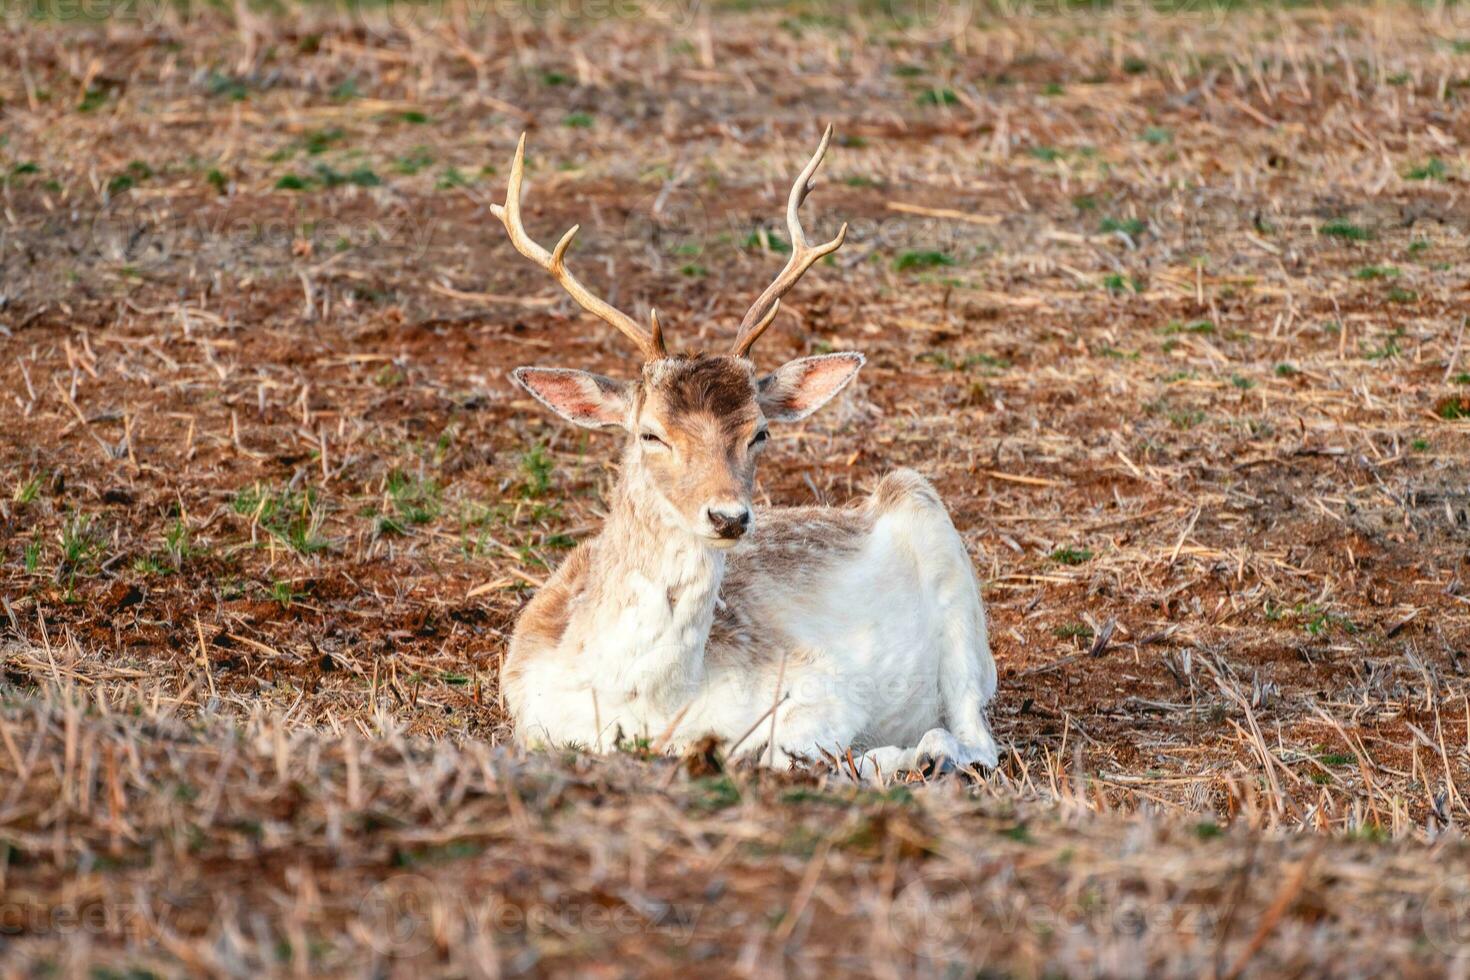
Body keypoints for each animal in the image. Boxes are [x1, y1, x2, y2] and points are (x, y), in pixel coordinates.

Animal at [493, 126, 999, 775]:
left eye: (759, 431)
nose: (728, 516)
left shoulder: (821, 685)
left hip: (941, 555)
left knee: (978, 739)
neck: (649, 703)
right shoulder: (533, 718)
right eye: (650, 433)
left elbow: (786, 753)